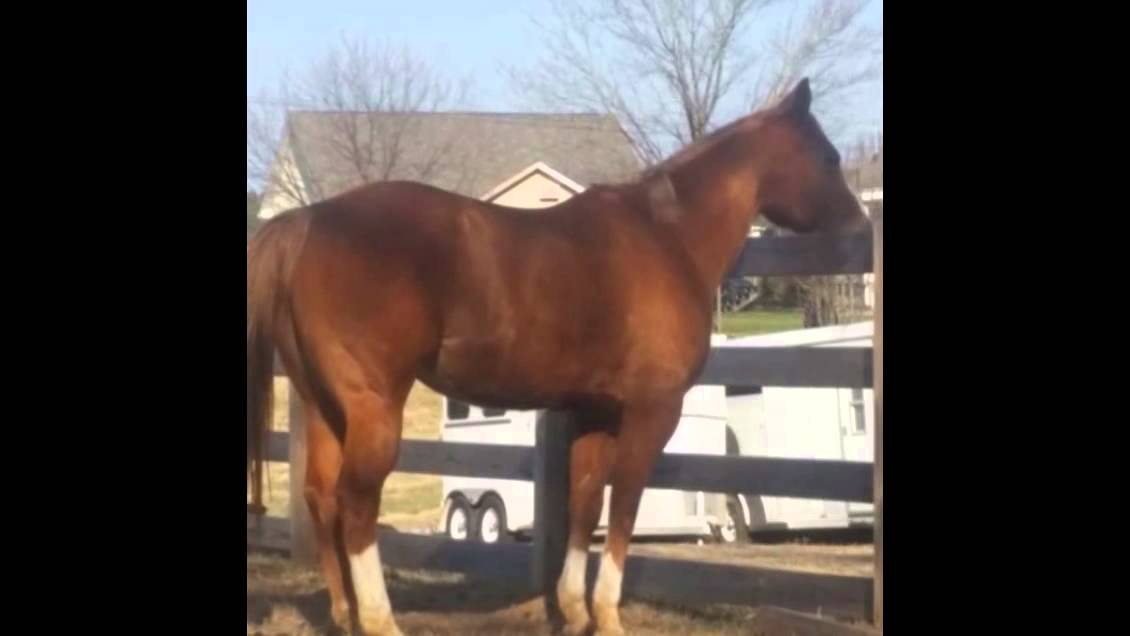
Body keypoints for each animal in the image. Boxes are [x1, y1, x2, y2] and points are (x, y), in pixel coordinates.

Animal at [247, 78, 870, 636]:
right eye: (829, 156)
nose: (860, 227)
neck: (666, 238)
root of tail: (306, 222)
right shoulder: (651, 411)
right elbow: (624, 506)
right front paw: (610, 617)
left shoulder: (594, 410)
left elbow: (585, 500)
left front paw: (574, 610)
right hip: (374, 408)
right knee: (356, 503)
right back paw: (380, 621)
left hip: (325, 404)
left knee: (322, 497)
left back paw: (345, 615)